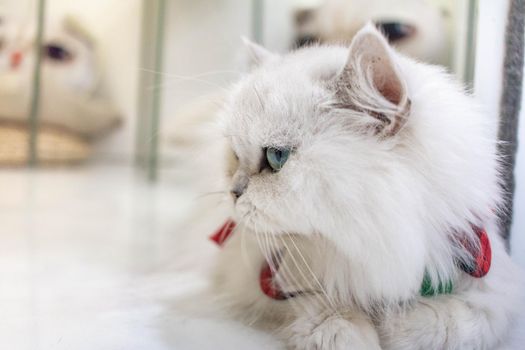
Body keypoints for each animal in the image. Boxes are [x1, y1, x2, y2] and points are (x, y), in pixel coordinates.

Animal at [209, 23, 520, 348]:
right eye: (235, 154)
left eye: (276, 157)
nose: (233, 193)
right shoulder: (250, 276)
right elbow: (317, 306)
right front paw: (355, 332)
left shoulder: (495, 286)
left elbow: (454, 320)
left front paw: (392, 324)